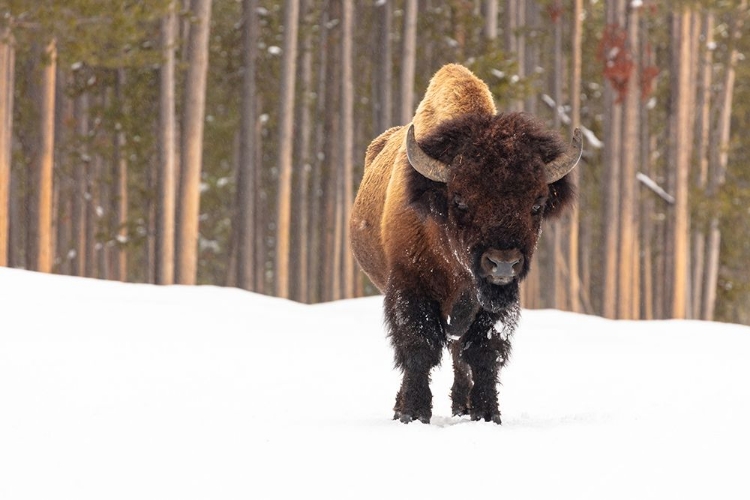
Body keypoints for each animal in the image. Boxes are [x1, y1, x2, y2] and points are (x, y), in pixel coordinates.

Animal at [350, 61, 584, 422]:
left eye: (537, 203)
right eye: (459, 199)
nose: (503, 263)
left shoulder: (495, 304)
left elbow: (484, 353)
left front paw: (487, 415)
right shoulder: (409, 286)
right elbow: (419, 349)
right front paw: (414, 413)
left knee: (460, 355)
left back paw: (461, 407)